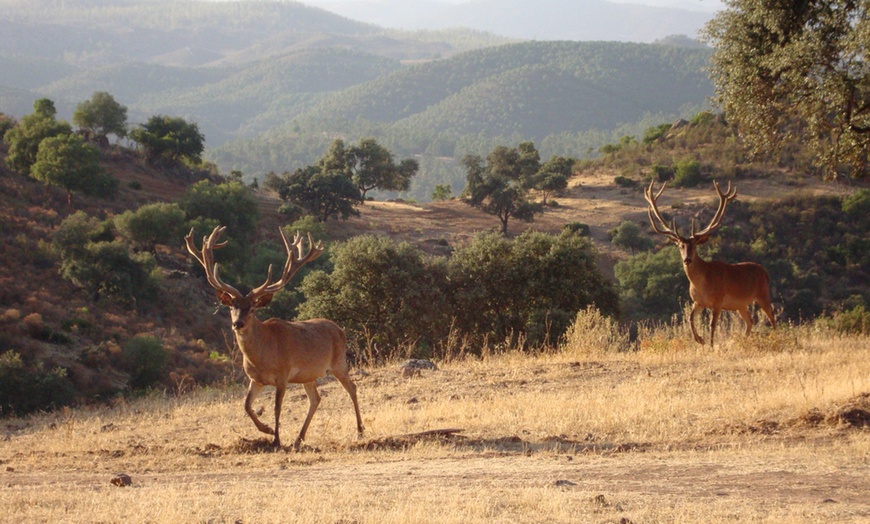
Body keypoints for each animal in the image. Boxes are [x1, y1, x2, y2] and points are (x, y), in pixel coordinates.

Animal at [186, 225, 366, 450]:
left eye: (252, 308)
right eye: (231, 306)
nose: (238, 324)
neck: (263, 356)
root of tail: (340, 330)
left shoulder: (283, 375)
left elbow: (277, 408)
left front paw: (276, 440)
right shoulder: (255, 379)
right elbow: (246, 405)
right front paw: (268, 430)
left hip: (338, 362)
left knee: (352, 388)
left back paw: (359, 431)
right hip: (309, 374)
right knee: (315, 399)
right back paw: (299, 439)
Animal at [644, 180, 780, 348]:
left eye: (694, 245)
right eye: (680, 245)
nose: (687, 259)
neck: (702, 285)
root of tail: (766, 272)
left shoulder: (718, 300)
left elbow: (712, 324)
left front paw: (711, 345)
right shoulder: (698, 301)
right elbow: (690, 318)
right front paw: (699, 339)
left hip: (763, 294)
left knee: (772, 317)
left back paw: (776, 338)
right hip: (741, 304)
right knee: (750, 321)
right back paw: (743, 340)